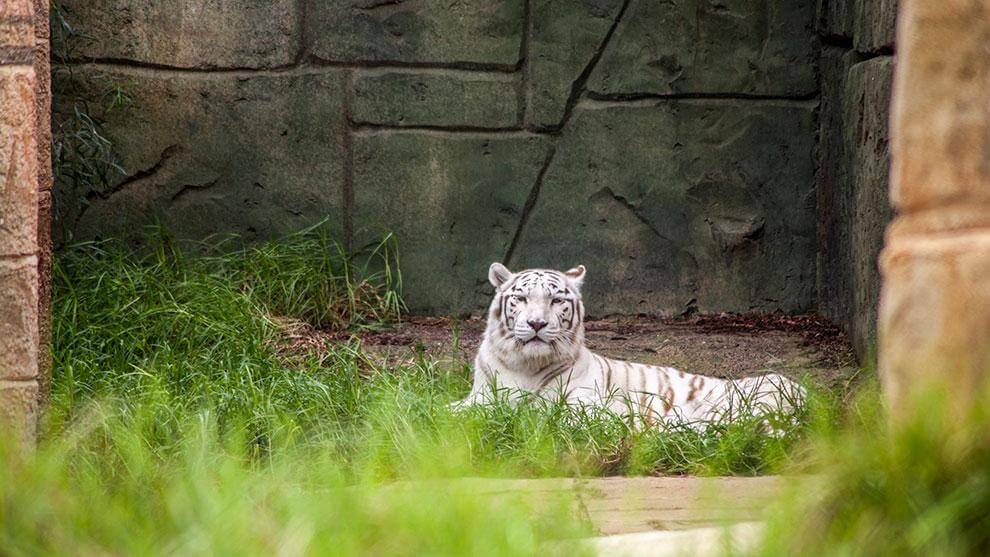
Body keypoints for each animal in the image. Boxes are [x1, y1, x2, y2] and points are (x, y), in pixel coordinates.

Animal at [458, 262, 808, 426]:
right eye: (520, 298)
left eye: (556, 300)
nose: (536, 324)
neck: (524, 364)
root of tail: (809, 395)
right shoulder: (478, 398)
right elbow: (453, 410)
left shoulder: (579, 407)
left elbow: (536, 413)